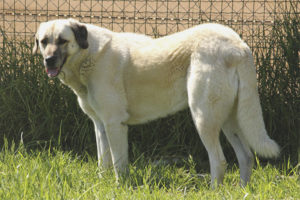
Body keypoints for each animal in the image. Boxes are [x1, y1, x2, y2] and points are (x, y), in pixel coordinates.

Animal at [34, 18, 280, 186]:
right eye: (44, 41)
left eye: (63, 41)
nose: (49, 60)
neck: (88, 56)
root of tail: (238, 44)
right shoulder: (101, 125)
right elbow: (103, 161)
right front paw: (102, 184)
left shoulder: (115, 124)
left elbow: (118, 163)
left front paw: (119, 187)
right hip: (228, 119)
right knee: (246, 157)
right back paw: (241, 190)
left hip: (203, 116)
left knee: (219, 161)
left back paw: (214, 191)